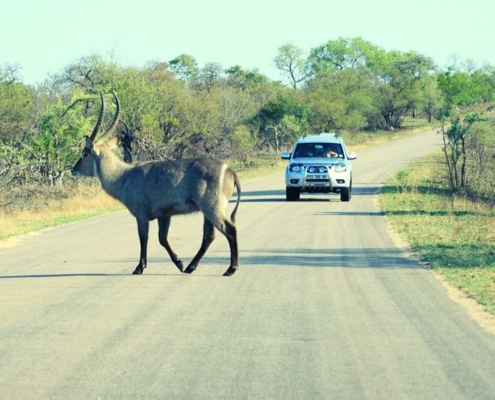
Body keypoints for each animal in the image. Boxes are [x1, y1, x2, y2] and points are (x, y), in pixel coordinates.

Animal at [72, 92, 242, 276]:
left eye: (85, 153)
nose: (73, 170)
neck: (124, 177)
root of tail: (229, 169)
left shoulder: (141, 215)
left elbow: (143, 238)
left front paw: (139, 267)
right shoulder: (164, 215)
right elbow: (162, 239)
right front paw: (179, 262)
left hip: (212, 207)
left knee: (230, 230)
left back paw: (231, 268)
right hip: (206, 211)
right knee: (209, 236)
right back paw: (190, 267)